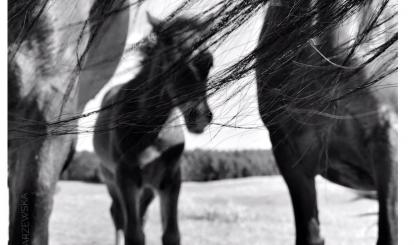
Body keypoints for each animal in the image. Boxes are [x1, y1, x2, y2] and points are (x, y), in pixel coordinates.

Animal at [93, 12, 213, 245]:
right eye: (172, 62)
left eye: (209, 62)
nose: (201, 116)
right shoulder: (125, 178)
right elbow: (134, 235)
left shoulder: (171, 179)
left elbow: (171, 234)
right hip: (110, 179)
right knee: (118, 215)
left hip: (148, 188)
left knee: (141, 216)